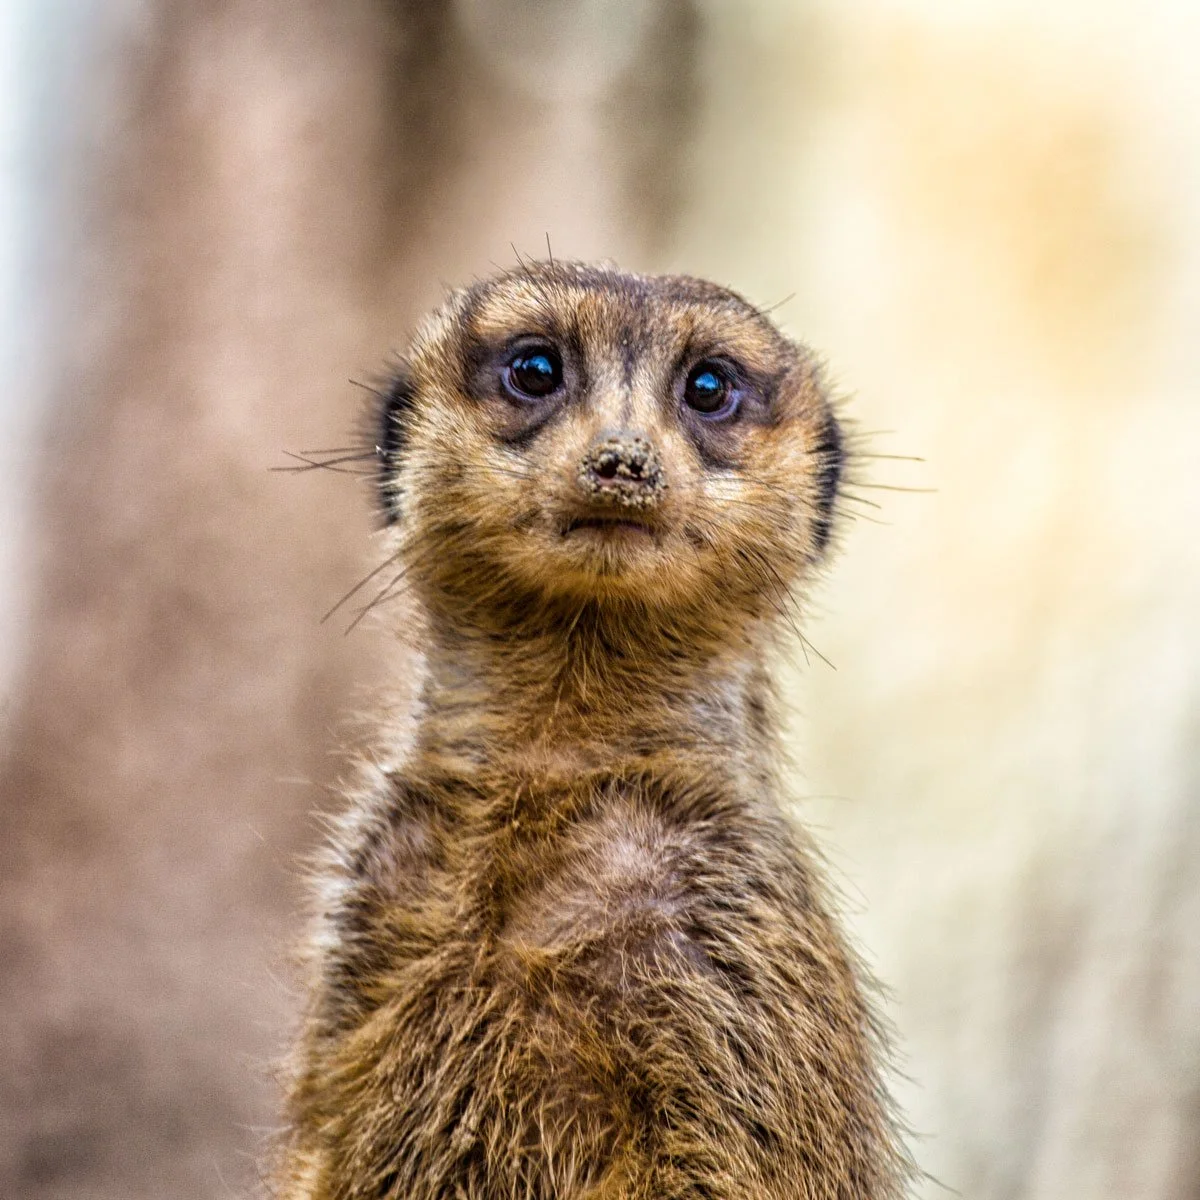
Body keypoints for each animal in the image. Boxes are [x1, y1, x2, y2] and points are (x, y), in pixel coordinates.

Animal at [274, 261, 911, 1199]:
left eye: (709, 386)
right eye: (535, 369)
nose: (622, 460)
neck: (556, 760)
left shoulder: (739, 950)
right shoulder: (368, 910)